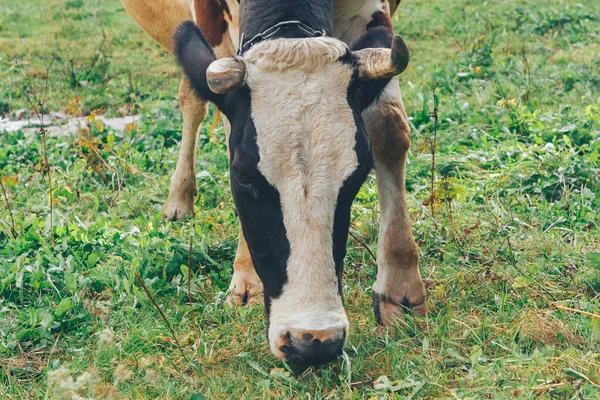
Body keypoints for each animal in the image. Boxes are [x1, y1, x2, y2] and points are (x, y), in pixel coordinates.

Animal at [119, 0, 424, 366]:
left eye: (357, 176)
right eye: (242, 177)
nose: (314, 342)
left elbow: (388, 127)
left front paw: (399, 288)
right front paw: (246, 276)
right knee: (192, 98)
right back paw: (179, 198)